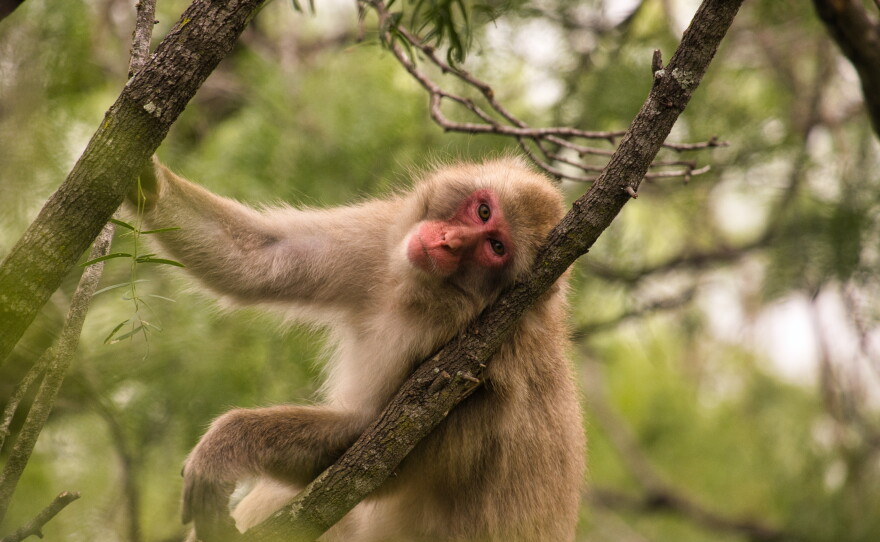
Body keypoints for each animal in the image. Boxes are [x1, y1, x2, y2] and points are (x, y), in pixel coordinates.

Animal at [130, 156, 585, 542]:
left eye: (495, 248)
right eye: (484, 212)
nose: (449, 242)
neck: (422, 295)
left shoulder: (475, 362)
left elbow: (372, 456)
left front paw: (225, 447)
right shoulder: (381, 238)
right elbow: (262, 258)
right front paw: (146, 178)